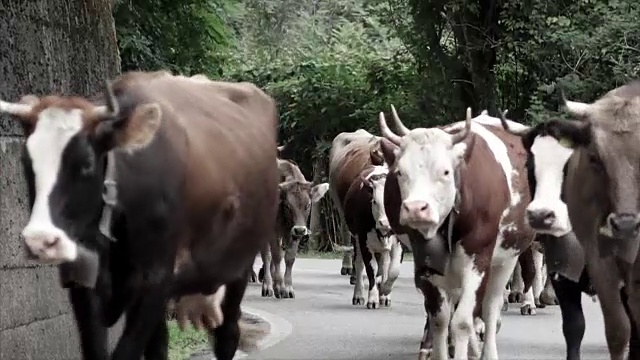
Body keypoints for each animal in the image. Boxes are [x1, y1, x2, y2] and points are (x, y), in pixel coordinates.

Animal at [6, 71, 278, 360]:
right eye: (26, 162)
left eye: (87, 163)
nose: (40, 240)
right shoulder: (83, 281)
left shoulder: (155, 278)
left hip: (239, 266)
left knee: (227, 335)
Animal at [260, 158, 330, 298]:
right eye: (288, 206)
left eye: (308, 205)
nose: (300, 230)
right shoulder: (273, 231)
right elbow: (276, 256)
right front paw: (279, 287)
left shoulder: (294, 233)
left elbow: (290, 258)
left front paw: (287, 288)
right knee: (267, 256)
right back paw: (267, 286)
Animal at [342, 165, 402, 308]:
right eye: (374, 201)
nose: (384, 223)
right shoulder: (364, 242)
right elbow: (371, 270)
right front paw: (373, 299)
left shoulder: (399, 242)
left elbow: (394, 270)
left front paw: (385, 290)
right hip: (356, 239)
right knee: (359, 265)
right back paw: (358, 295)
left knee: (385, 264)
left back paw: (384, 295)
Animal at [380, 107, 540, 360]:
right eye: (400, 173)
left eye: (445, 171)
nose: (415, 208)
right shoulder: (426, 263)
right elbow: (440, 319)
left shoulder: (479, 257)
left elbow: (463, 321)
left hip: (506, 258)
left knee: (491, 307)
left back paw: (487, 351)